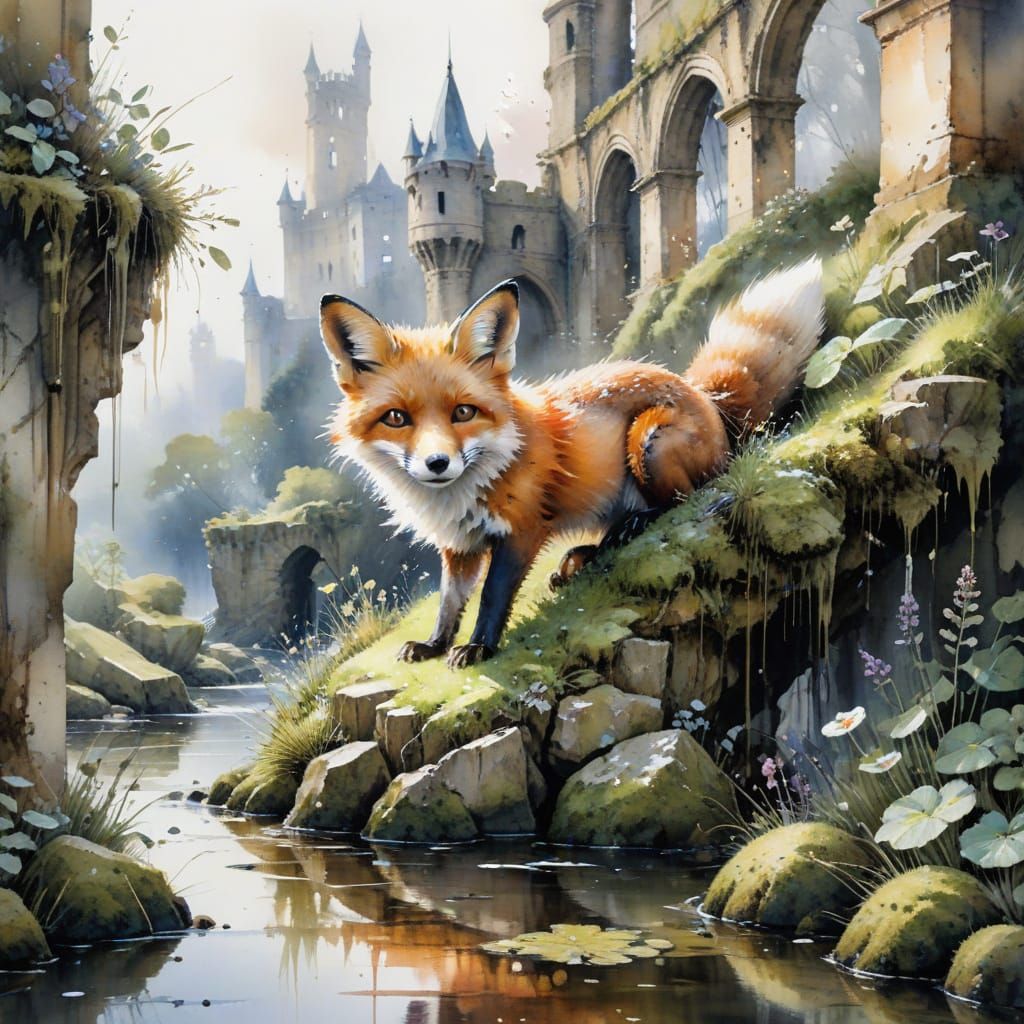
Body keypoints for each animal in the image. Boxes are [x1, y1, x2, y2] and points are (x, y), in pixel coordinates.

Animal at [320, 258, 824, 669]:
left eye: (463, 412)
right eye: (396, 418)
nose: (437, 463)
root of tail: (702, 393)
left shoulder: (521, 530)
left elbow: (492, 596)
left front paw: (479, 647)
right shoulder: (459, 547)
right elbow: (450, 602)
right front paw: (434, 644)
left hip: (646, 442)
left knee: (693, 494)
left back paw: (625, 532)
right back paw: (585, 555)